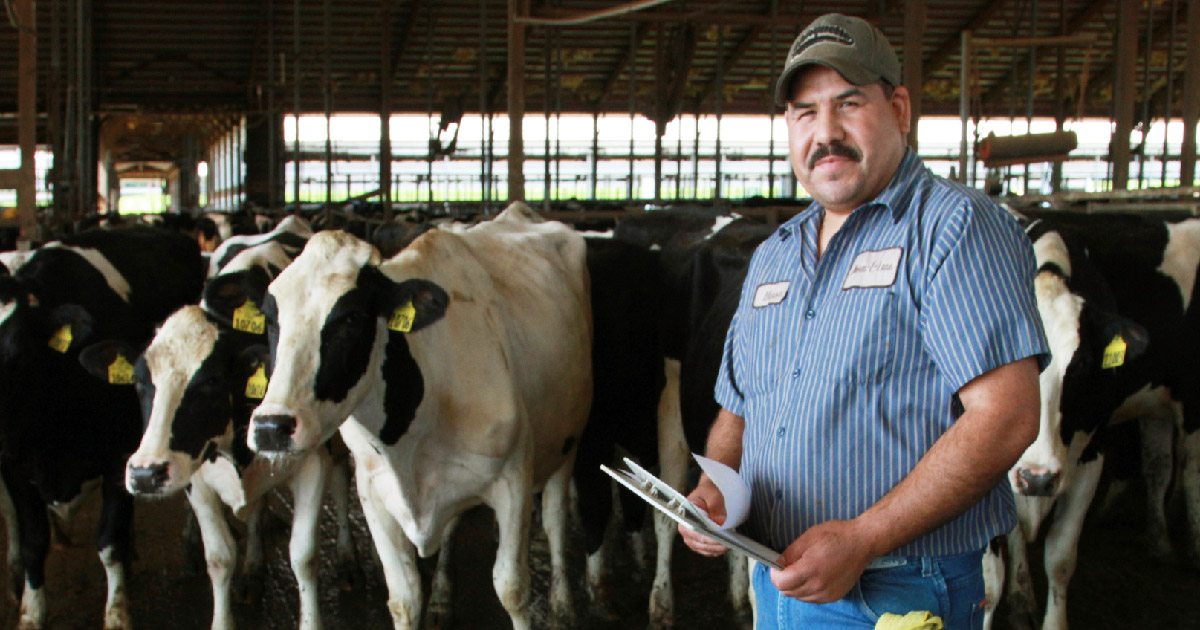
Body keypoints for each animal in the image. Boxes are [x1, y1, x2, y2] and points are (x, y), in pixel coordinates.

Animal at [0, 225, 204, 628]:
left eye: (17, 355)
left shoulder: (119, 455)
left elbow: (108, 542)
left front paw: (117, 614)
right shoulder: (15, 467)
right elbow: (33, 542)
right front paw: (31, 613)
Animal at [249, 202, 595, 628]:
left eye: (351, 318)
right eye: (271, 320)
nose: (271, 426)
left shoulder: (513, 478)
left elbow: (513, 589)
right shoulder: (374, 494)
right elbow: (404, 597)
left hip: (568, 437)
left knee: (555, 516)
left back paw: (563, 603)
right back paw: (443, 597)